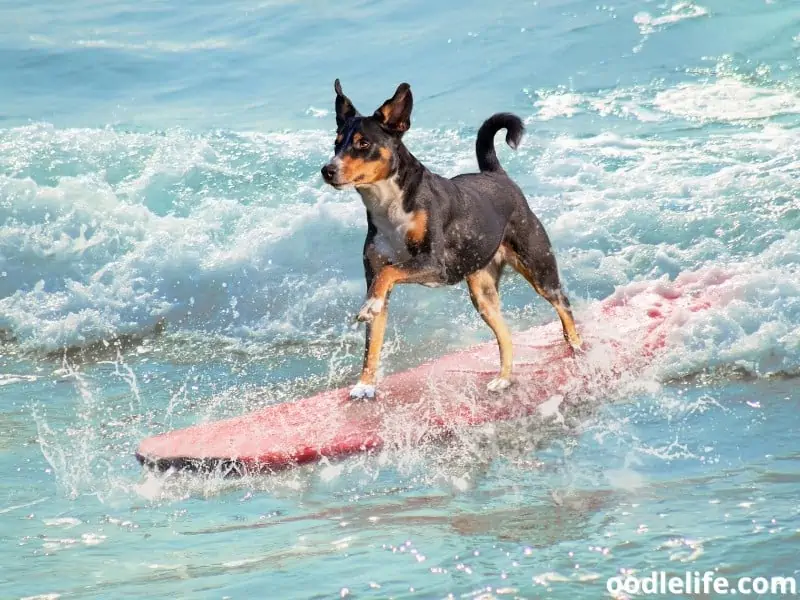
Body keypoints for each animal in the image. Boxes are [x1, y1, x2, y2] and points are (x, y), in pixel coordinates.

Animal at [320, 79, 580, 398]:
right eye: (336, 143)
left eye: (363, 143)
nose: (327, 170)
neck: (388, 205)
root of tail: (496, 174)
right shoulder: (377, 275)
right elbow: (372, 343)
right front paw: (365, 385)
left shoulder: (434, 264)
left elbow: (389, 273)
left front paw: (368, 308)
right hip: (483, 295)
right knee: (505, 335)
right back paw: (504, 378)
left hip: (539, 267)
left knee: (563, 305)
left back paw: (577, 345)